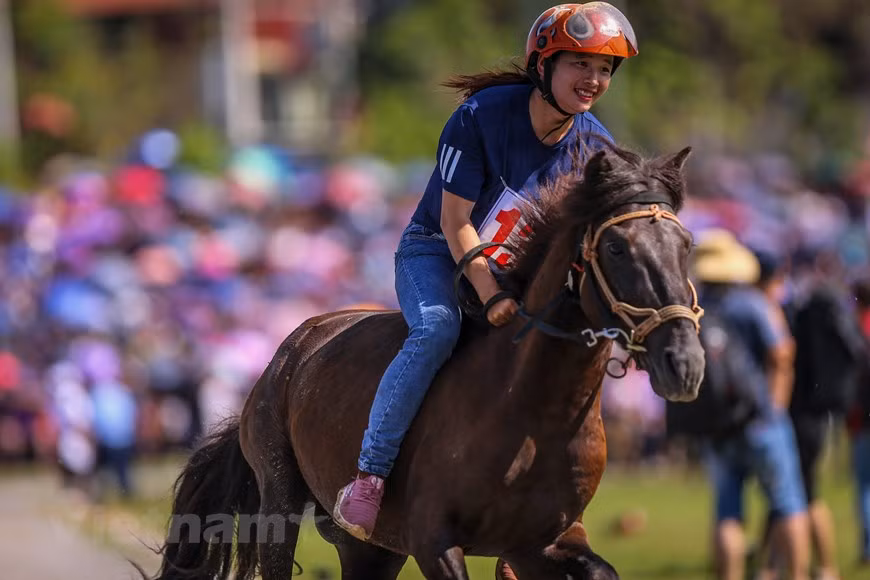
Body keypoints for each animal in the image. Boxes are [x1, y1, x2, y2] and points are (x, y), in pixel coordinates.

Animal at [154, 142, 706, 580]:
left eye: (686, 245)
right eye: (616, 247)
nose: (684, 362)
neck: (532, 412)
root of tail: (289, 353)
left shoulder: (541, 541)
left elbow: (598, 569)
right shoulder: (434, 540)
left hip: (369, 549)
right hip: (280, 499)